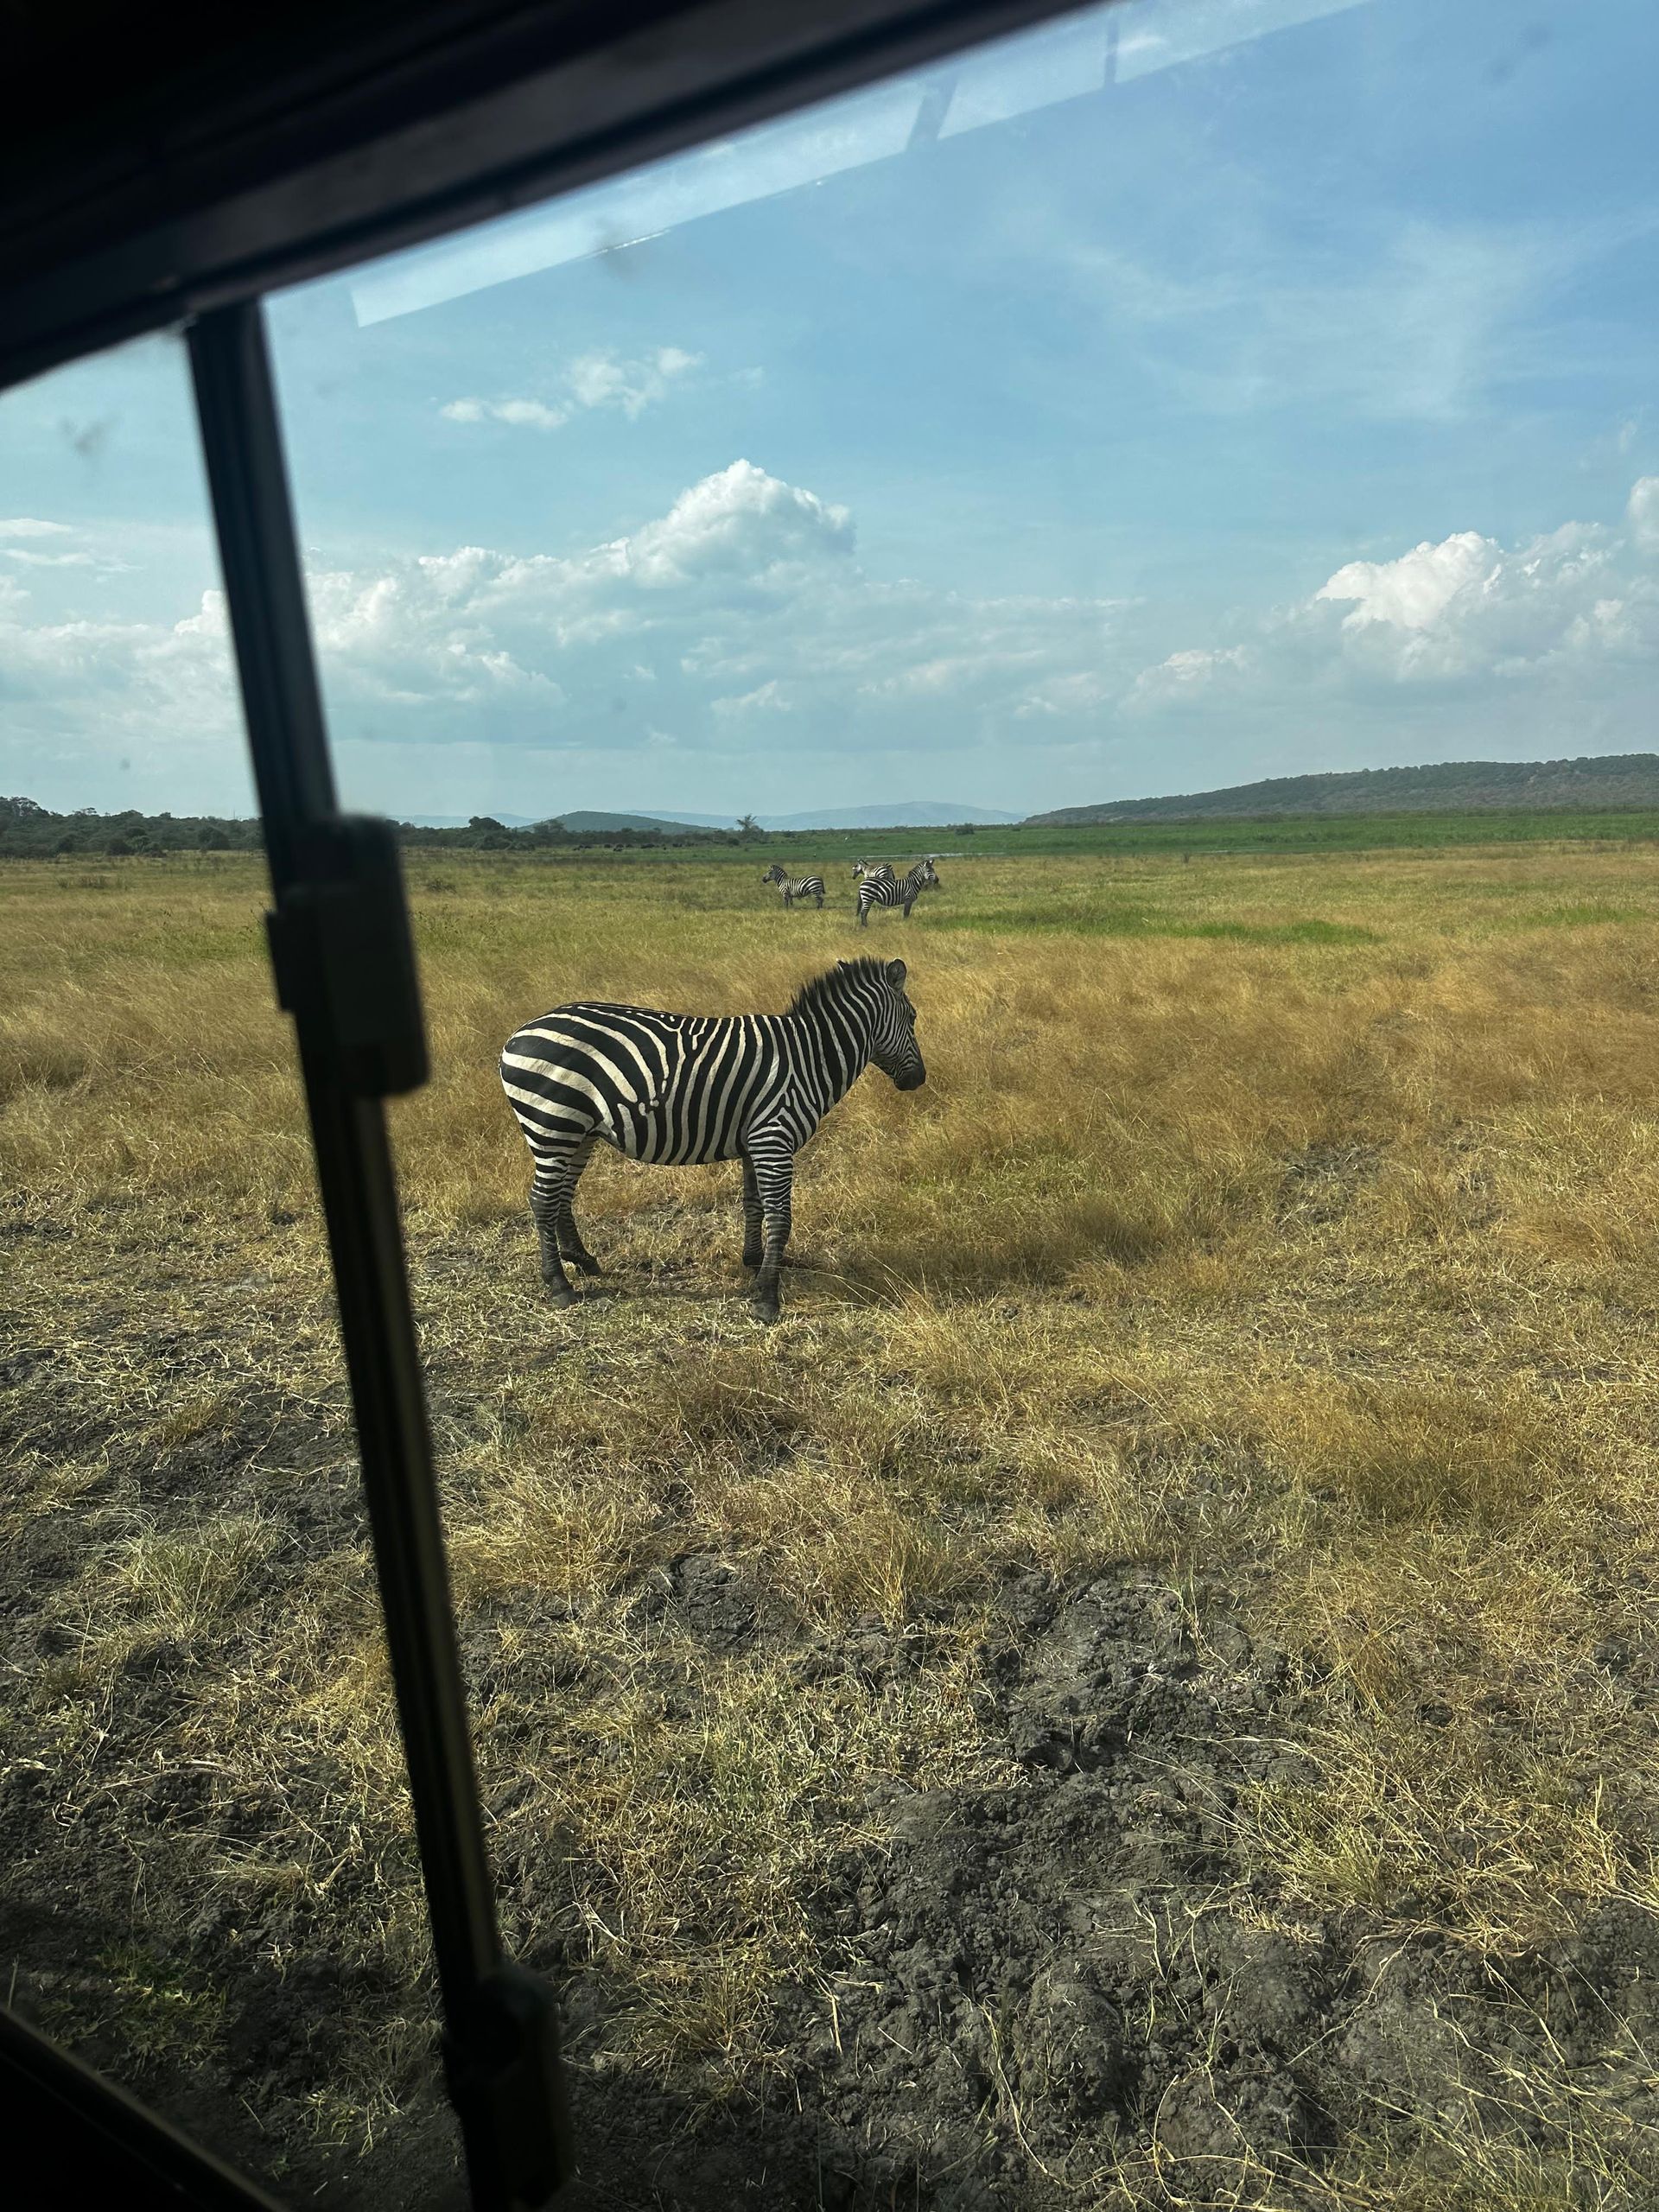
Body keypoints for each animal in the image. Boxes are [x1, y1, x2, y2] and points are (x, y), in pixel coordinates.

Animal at [499, 955, 925, 1322]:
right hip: (553, 1123)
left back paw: (583, 1260)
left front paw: (754, 1261)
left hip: (578, 1130)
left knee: (562, 1196)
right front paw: (767, 1298)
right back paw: (559, 1285)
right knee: (542, 1200)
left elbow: (754, 1206)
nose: (918, 1079)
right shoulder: (774, 1137)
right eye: (913, 1017)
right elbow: (780, 1214)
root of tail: (518, 1034)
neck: (810, 1058)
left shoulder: (756, 1142)